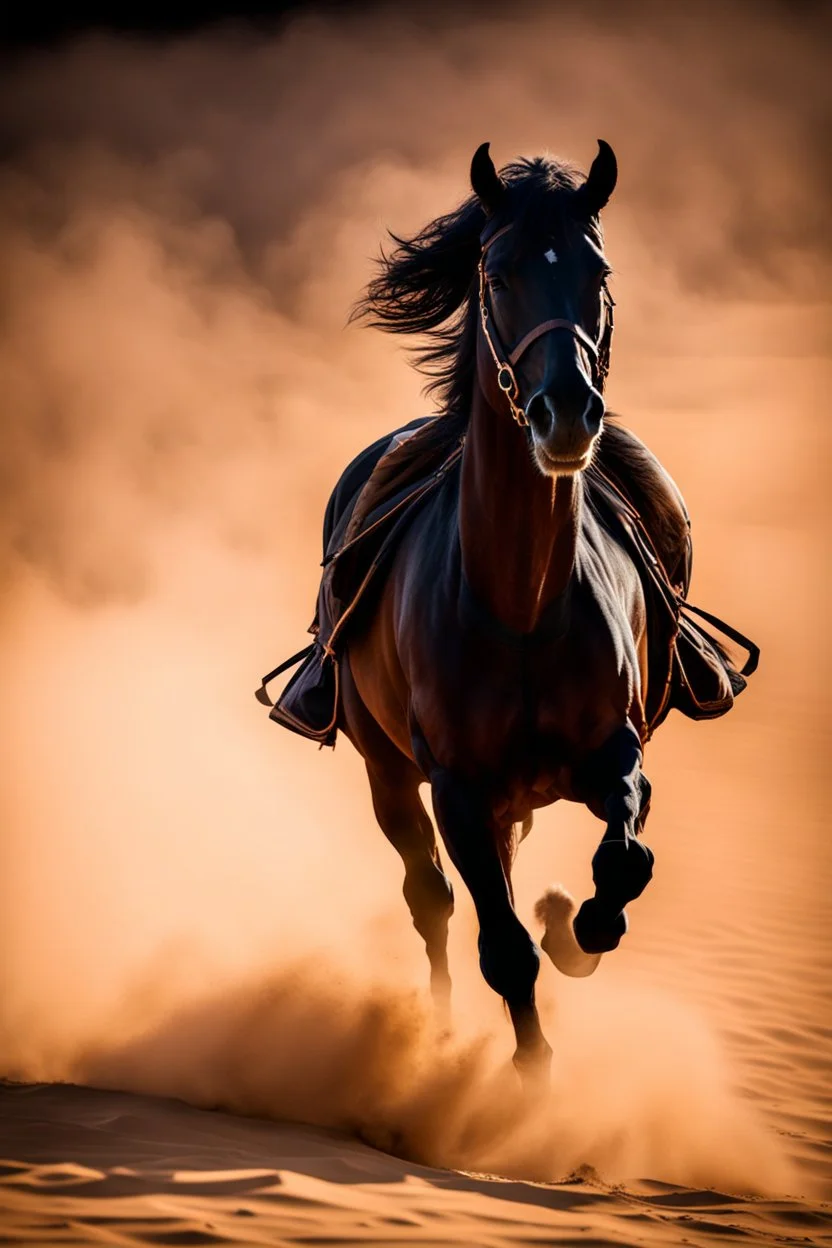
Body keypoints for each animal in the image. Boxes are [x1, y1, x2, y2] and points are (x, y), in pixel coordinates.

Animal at [265, 141, 753, 1083]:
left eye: (599, 271)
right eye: (497, 272)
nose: (565, 414)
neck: (520, 605)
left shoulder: (614, 752)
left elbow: (623, 861)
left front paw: (580, 925)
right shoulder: (456, 786)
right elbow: (502, 945)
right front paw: (529, 1078)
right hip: (390, 774)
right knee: (431, 900)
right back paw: (438, 1032)